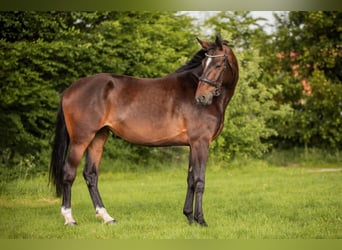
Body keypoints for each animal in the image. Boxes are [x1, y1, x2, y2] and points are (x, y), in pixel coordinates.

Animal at [50, 34, 238, 228]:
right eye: (204, 64)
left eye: (218, 65)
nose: (201, 97)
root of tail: (69, 90)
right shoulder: (201, 142)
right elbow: (199, 181)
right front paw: (200, 220)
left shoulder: (193, 145)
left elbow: (190, 180)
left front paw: (189, 217)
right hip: (81, 140)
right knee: (68, 173)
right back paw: (69, 218)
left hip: (98, 138)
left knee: (90, 175)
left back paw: (107, 217)